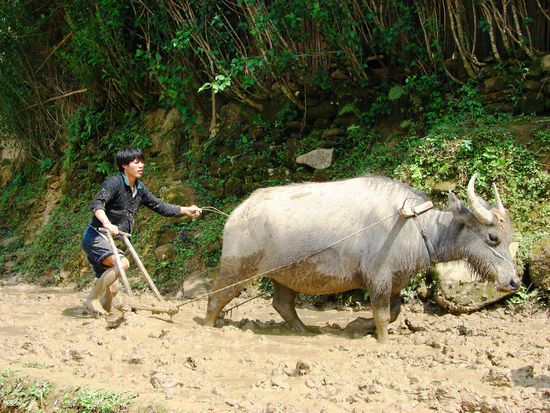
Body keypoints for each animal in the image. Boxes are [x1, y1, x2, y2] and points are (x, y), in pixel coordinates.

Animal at [207, 174, 520, 342]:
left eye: (509, 237)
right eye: (493, 237)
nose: (514, 281)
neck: (415, 226)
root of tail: (236, 214)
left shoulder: (395, 283)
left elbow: (394, 313)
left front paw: (356, 326)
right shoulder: (378, 280)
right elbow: (382, 315)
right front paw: (382, 341)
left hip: (285, 275)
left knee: (282, 304)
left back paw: (305, 330)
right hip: (237, 268)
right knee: (215, 297)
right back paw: (207, 326)